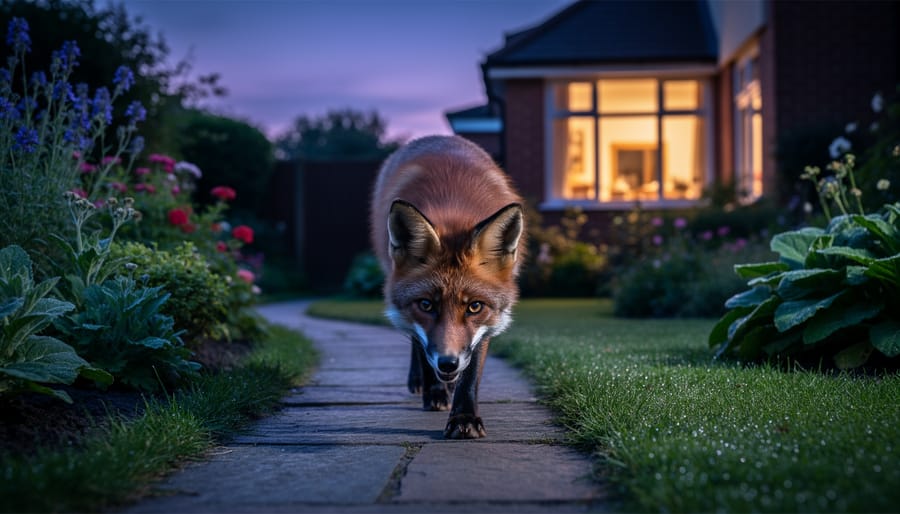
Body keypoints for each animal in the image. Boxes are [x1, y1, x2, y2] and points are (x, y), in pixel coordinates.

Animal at [370, 135, 525, 439]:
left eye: (474, 306)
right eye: (426, 304)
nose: (447, 363)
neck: (454, 207)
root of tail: (437, 137)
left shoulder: (488, 321)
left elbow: (471, 372)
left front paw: (464, 417)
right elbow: (422, 346)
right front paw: (434, 392)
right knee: (416, 345)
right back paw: (423, 383)